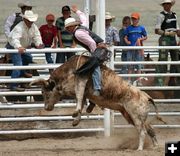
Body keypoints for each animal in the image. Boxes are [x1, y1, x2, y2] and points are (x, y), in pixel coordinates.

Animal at [29, 55, 165, 151]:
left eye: (43, 91)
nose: (46, 107)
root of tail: (146, 96)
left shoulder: (80, 81)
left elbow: (79, 96)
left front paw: (75, 113)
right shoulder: (84, 93)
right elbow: (81, 102)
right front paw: (76, 120)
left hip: (135, 116)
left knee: (142, 132)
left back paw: (139, 148)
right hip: (132, 116)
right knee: (150, 129)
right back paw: (155, 146)